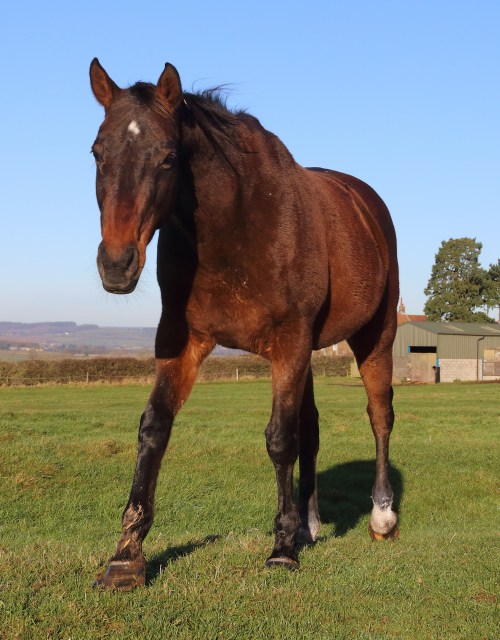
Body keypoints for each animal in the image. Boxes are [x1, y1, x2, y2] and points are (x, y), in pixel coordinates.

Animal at [89, 58, 399, 590]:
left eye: (168, 159)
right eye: (97, 152)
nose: (116, 264)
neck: (238, 223)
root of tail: (367, 204)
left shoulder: (289, 340)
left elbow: (279, 439)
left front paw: (281, 548)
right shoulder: (183, 339)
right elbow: (155, 428)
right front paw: (126, 557)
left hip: (374, 339)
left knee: (379, 417)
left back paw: (381, 517)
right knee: (311, 428)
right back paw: (311, 524)